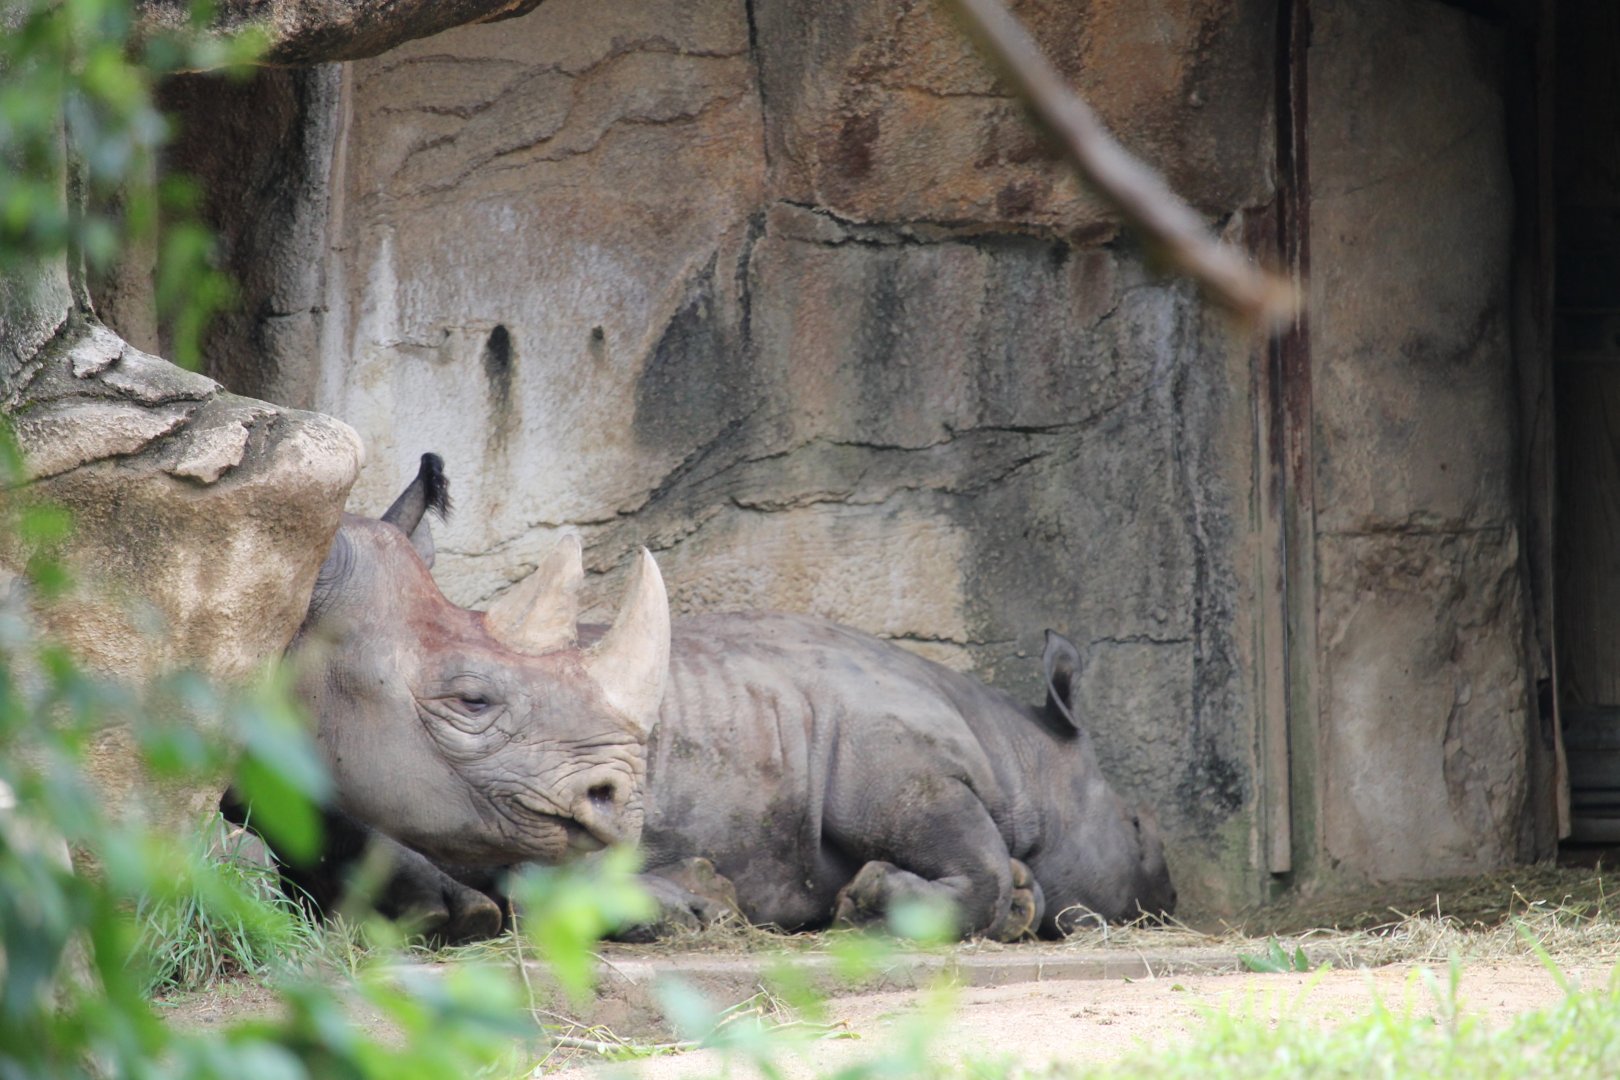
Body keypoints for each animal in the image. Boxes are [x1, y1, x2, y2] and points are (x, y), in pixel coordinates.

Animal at [245, 456, 1174, 941]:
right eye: (1137, 829)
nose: (1170, 892)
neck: (1023, 755)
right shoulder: (900, 765)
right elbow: (971, 859)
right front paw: (886, 900)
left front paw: (1014, 901)